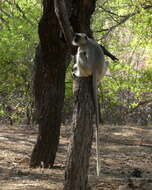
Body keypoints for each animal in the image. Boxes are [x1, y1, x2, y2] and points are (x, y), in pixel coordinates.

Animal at [72, 33, 108, 177]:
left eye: (77, 37)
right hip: (101, 71)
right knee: (107, 62)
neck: (87, 41)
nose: (74, 39)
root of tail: (95, 71)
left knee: (80, 55)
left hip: (86, 68)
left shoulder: (82, 46)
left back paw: (77, 72)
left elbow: (79, 52)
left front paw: (74, 68)